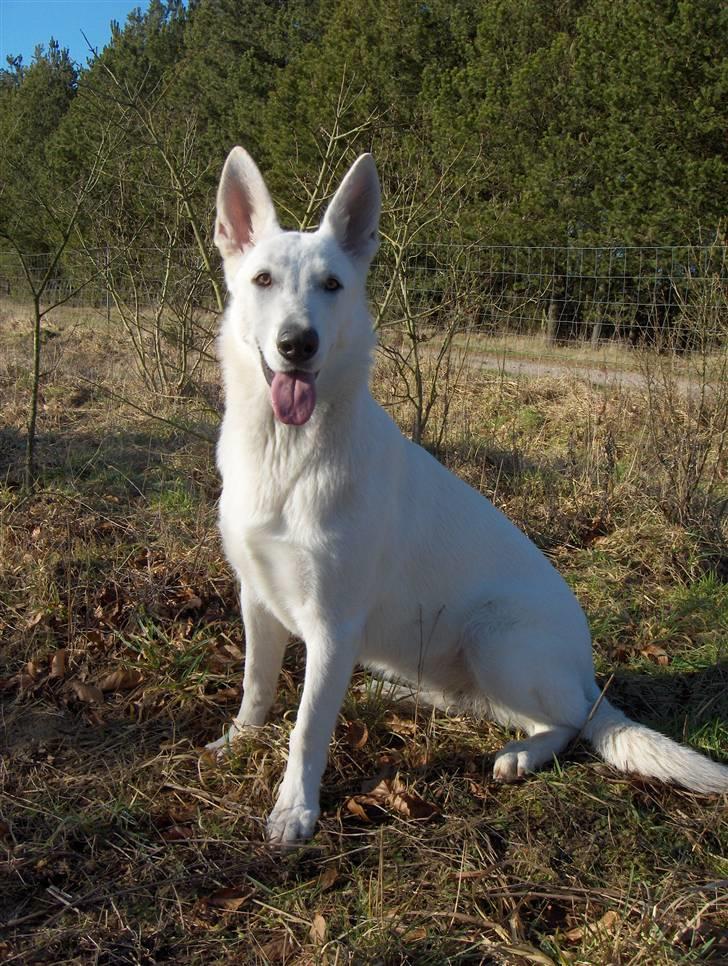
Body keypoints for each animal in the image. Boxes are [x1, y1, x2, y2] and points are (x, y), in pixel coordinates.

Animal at [209, 147, 728, 844]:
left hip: (494, 636)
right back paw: (395, 694)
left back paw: (522, 754)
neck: (284, 454)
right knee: (476, 704)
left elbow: (307, 729)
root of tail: (589, 677)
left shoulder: (331, 624)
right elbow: (257, 689)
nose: (298, 345)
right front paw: (237, 740)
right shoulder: (257, 598)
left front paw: (295, 807)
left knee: (568, 725)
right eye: (262, 280)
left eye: (332, 286)